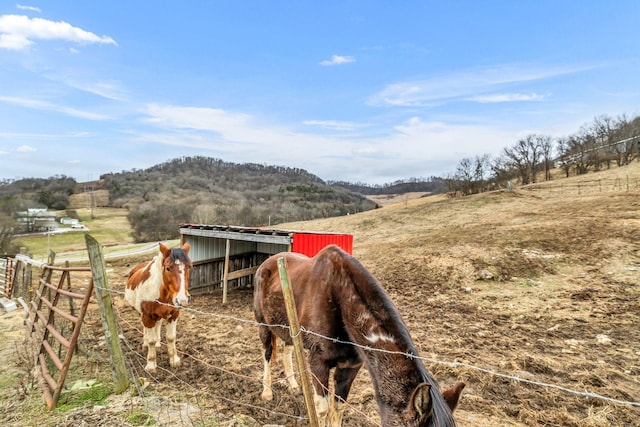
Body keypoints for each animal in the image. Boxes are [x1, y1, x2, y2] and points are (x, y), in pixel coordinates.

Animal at [125, 242, 192, 372]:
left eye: (189, 267)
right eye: (168, 268)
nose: (182, 300)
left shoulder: (173, 315)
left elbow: (171, 337)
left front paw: (174, 360)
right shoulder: (147, 316)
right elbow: (151, 340)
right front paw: (151, 364)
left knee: (158, 325)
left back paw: (158, 343)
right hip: (143, 314)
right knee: (146, 329)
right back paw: (145, 344)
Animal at [254, 244, 464, 427]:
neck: (340, 300)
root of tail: (266, 263)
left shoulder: (350, 367)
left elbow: (337, 409)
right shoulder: (318, 362)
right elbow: (323, 409)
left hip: (287, 326)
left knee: (287, 351)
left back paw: (293, 385)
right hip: (263, 324)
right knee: (267, 353)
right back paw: (266, 392)